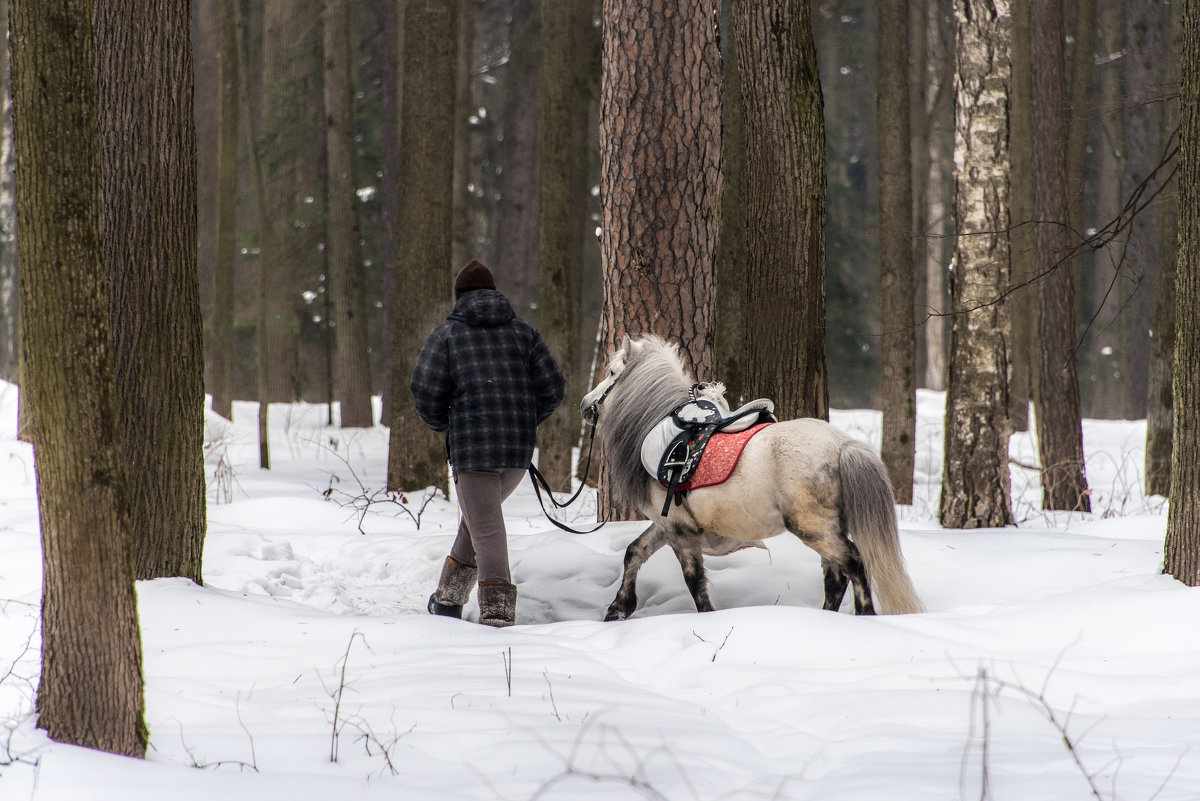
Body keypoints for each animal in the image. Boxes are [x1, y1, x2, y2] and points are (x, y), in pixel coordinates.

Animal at [583, 330, 926, 618]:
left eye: (611, 372)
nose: (586, 405)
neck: (662, 429)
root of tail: (842, 446)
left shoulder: (680, 530)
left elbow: (694, 582)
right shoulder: (669, 524)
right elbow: (634, 552)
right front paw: (618, 609)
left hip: (813, 528)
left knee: (854, 565)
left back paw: (864, 616)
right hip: (827, 529)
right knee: (835, 577)